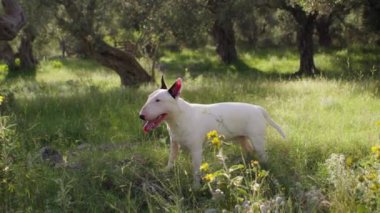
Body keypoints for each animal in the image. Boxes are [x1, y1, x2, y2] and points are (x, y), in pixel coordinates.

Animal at [140, 77, 284, 186]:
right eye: (148, 97)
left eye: (158, 100)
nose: (141, 116)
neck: (180, 117)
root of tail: (258, 108)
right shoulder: (174, 143)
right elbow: (171, 158)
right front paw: (166, 171)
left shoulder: (196, 150)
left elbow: (196, 170)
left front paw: (196, 187)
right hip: (242, 137)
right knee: (249, 150)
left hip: (257, 139)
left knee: (263, 155)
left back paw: (265, 168)